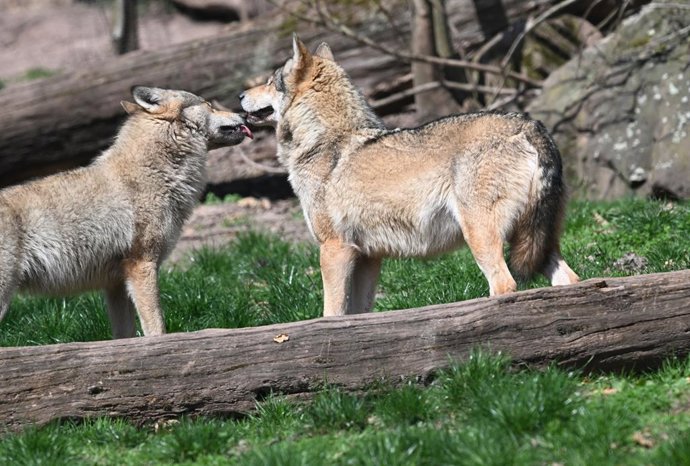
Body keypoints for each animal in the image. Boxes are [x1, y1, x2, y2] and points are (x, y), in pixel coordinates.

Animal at [0, 86, 253, 338]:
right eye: (208, 104)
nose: (244, 114)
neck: (156, 173)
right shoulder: (142, 266)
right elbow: (157, 328)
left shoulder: (116, 285)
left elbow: (125, 337)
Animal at [240, 35, 579, 317]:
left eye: (269, 81)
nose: (241, 95)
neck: (326, 139)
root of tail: (529, 125)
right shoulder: (368, 256)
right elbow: (359, 313)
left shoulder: (334, 249)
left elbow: (331, 313)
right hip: (539, 243)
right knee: (570, 280)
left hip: (481, 237)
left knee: (505, 284)